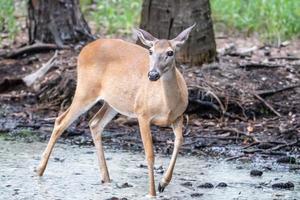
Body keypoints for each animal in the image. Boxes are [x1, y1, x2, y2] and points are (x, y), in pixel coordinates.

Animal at [36, 23, 196, 197]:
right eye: (150, 51)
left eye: (170, 52)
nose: (153, 74)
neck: (167, 106)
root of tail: (85, 49)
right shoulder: (142, 113)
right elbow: (150, 154)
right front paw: (152, 192)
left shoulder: (179, 116)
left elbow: (179, 141)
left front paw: (163, 183)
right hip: (86, 89)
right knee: (61, 121)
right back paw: (39, 171)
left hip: (112, 102)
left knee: (94, 123)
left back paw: (106, 178)